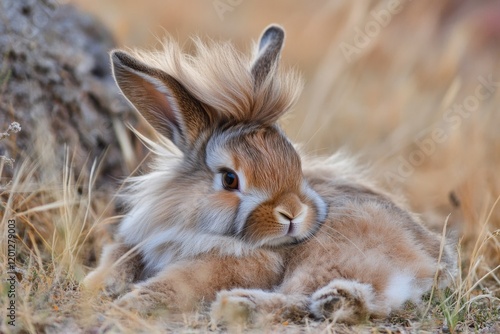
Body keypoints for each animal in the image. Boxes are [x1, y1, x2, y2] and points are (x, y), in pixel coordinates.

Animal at [84, 24, 458, 324]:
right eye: (229, 179)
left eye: (296, 162)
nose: (292, 214)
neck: (194, 223)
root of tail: (426, 264)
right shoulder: (140, 240)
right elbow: (120, 255)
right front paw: (99, 283)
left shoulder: (242, 262)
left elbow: (180, 281)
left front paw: (131, 302)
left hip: (325, 254)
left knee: (307, 298)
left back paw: (239, 304)